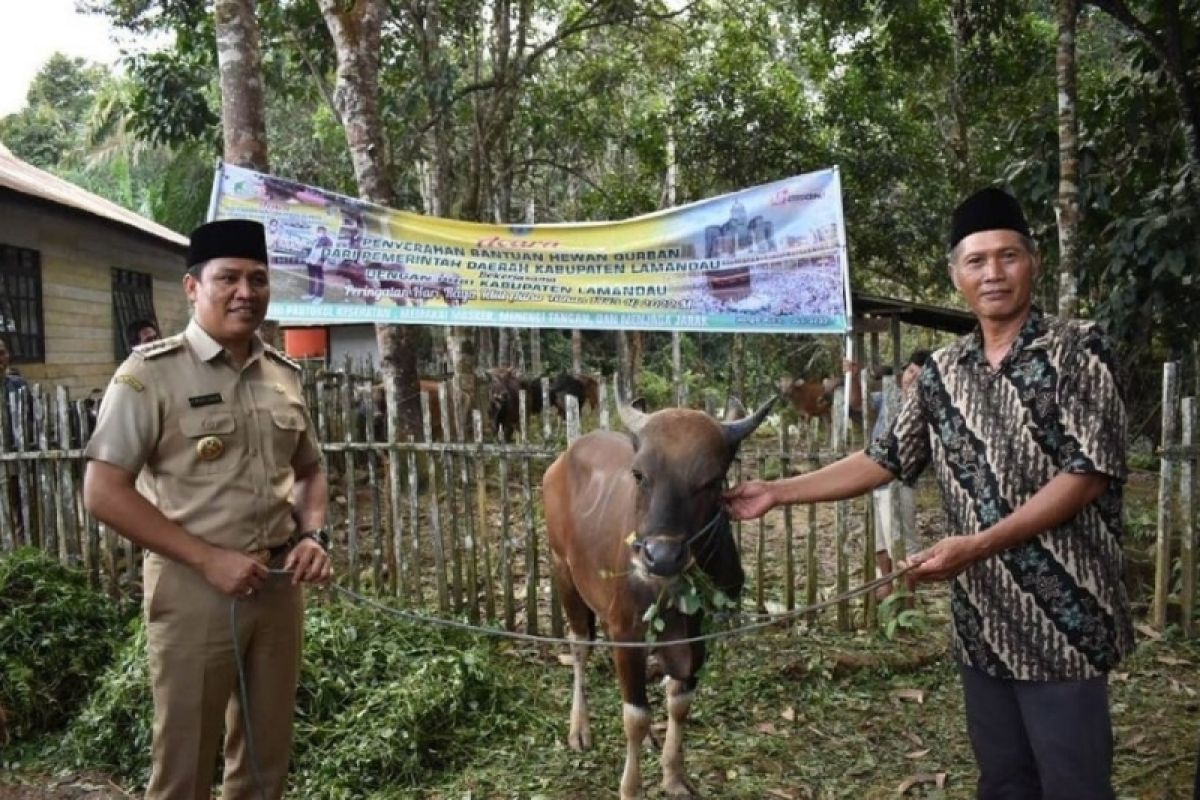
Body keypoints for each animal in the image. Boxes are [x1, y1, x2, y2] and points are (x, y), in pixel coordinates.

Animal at [547, 391, 777, 796]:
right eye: (639, 475)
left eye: (713, 480)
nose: (661, 555)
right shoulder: (625, 632)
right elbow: (636, 716)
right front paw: (630, 787)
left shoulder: (696, 636)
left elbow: (679, 703)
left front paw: (673, 774)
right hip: (563, 572)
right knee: (579, 647)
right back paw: (579, 728)